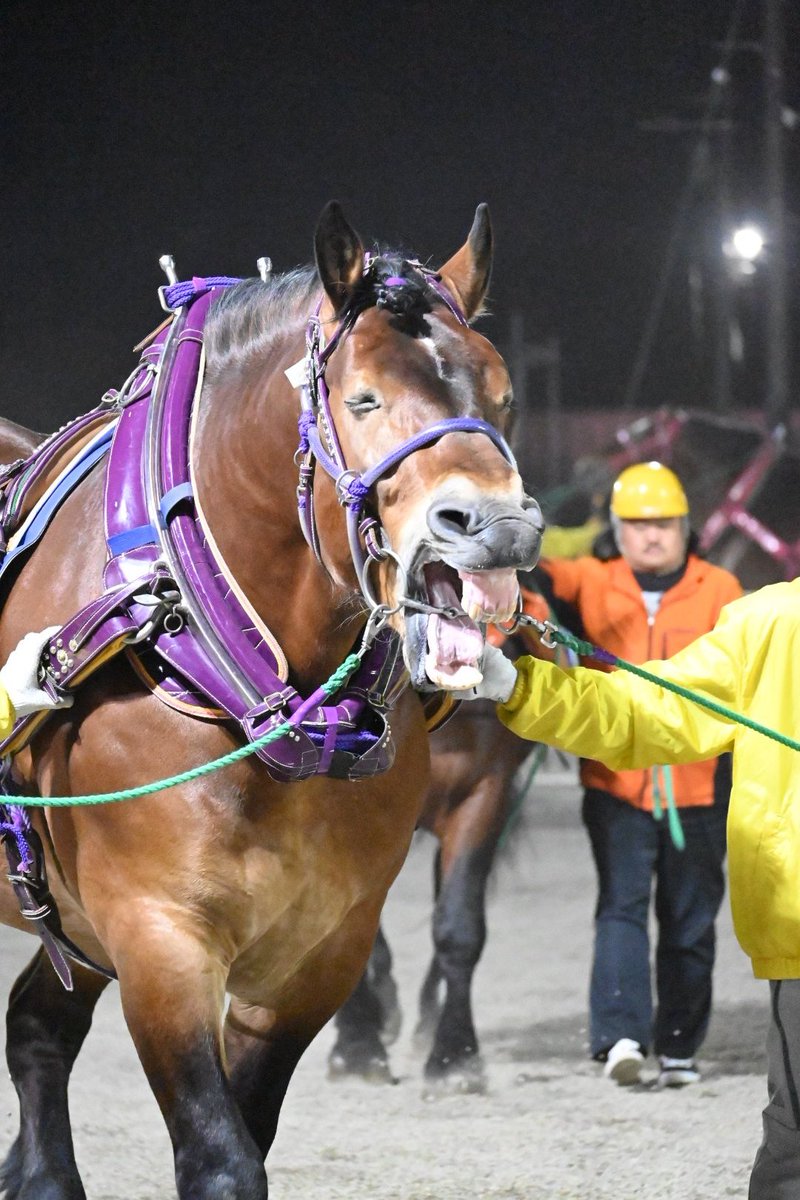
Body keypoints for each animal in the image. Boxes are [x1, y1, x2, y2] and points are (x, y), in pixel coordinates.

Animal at [0, 202, 543, 1199]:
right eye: (363, 400)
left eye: (503, 395)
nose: (499, 526)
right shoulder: (158, 938)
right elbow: (221, 1159)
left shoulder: (315, 953)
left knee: (36, 1029)